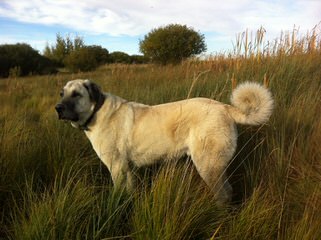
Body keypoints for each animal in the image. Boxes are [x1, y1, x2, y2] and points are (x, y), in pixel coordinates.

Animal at [55, 79, 272, 203]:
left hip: (207, 165)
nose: (57, 108)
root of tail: (225, 108)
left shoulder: (116, 167)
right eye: (62, 93)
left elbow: (118, 192)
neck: (96, 111)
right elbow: (129, 191)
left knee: (224, 194)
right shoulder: (127, 169)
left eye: (76, 94)